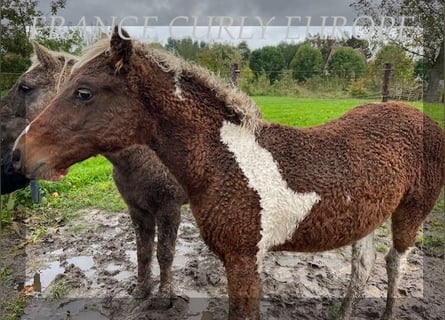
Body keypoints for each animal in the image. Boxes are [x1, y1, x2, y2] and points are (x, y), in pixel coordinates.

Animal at [12, 28, 442, 318]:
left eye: (83, 92)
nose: (19, 155)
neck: (224, 159)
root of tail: (419, 116)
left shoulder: (244, 260)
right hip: (365, 218)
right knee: (363, 264)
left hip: (411, 213)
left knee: (395, 262)